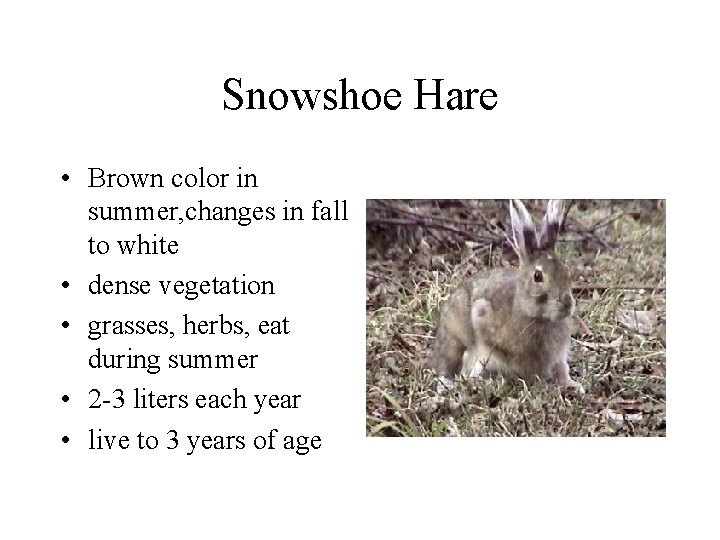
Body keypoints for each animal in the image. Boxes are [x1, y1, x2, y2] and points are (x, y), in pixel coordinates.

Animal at [432, 199, 581, 391]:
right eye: (537, 276)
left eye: (566, 271)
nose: (567, 304)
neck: (537, 316)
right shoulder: (482, 320)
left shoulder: (559, 356)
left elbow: (562, 369)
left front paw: (573, 385)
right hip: (454, 339)